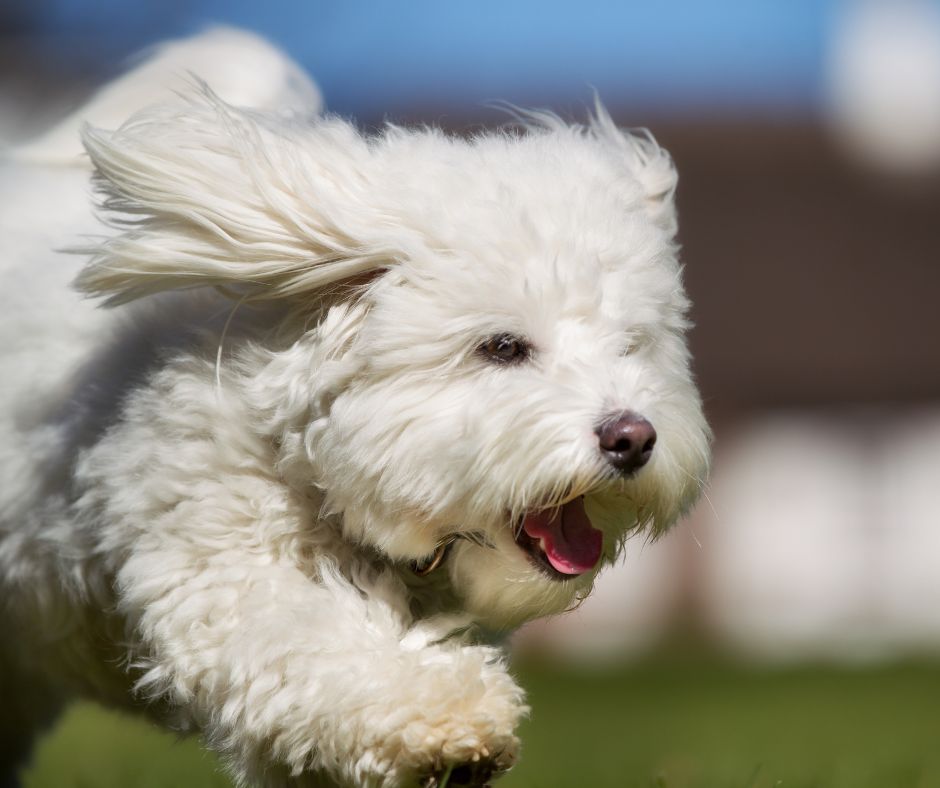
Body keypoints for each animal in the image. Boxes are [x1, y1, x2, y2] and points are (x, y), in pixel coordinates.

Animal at [0, 29, 704, 788]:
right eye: (503, 347)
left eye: (630, 345)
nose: (632, 438)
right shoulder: (215, 573)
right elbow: (315, 652)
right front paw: (448, 711)